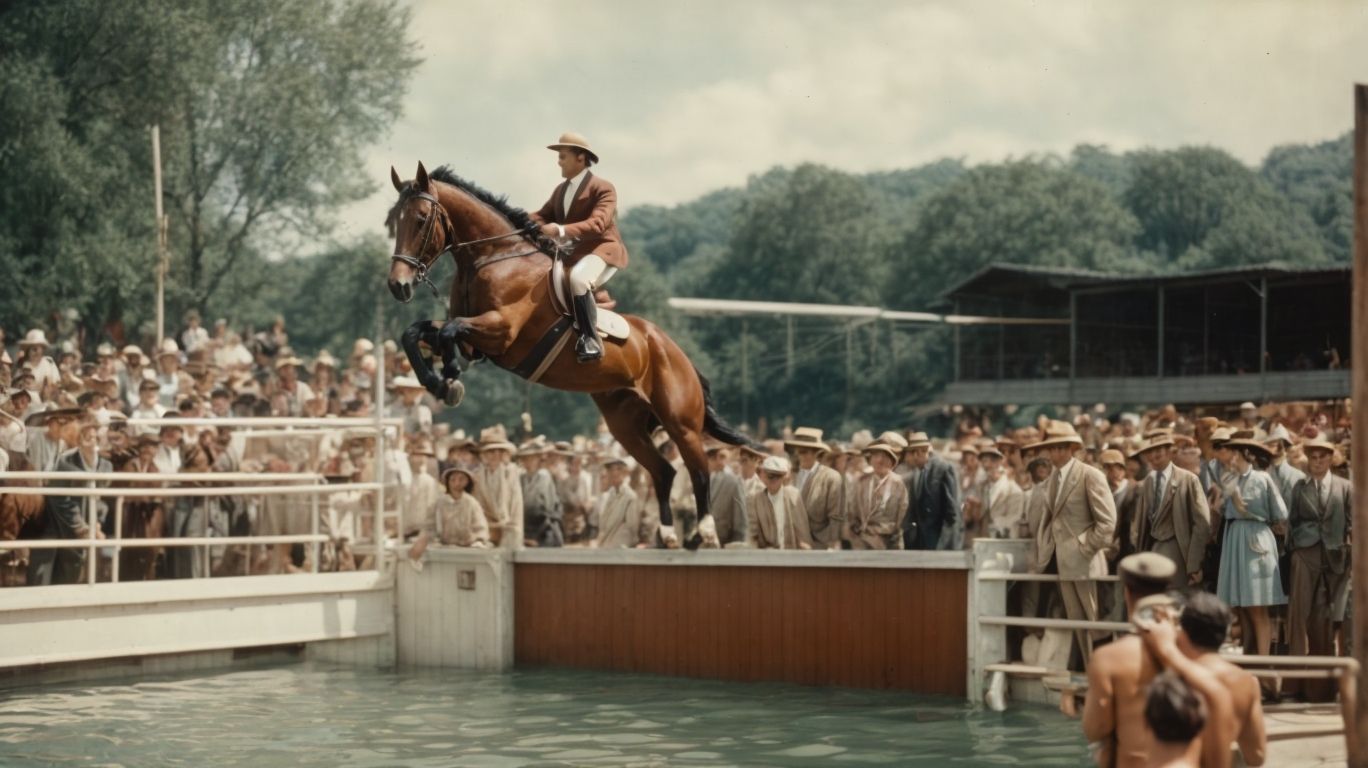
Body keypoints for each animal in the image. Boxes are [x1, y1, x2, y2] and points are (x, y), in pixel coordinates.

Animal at [385, 162, 750, 548]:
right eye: (395, 221)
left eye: (421, 219)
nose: (398, 285)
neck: (491, 258)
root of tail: (677, 352)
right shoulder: (477, 338)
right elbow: (417, 333)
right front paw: (440, 381)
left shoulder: (501, 331)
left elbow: (448, 331)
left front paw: (450, 375)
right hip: (625, 424)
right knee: (664, 471)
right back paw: (667, 536)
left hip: (680, 421)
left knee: (699, 469)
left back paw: (702, 532)